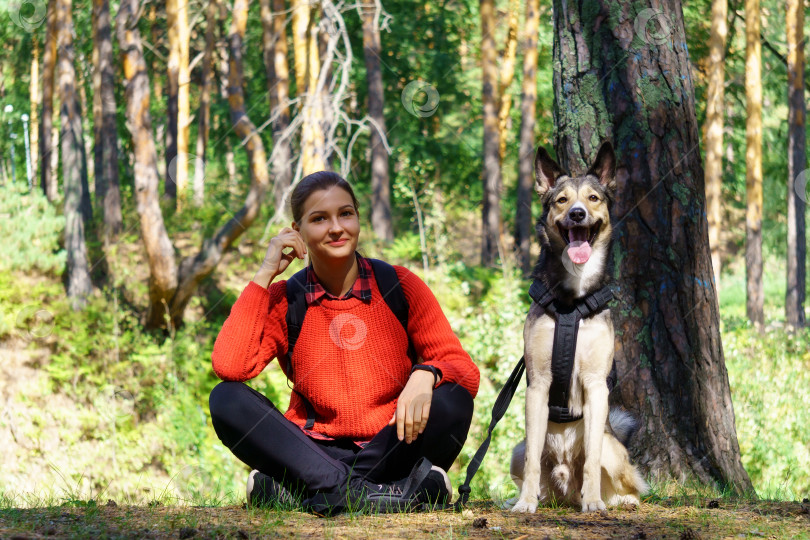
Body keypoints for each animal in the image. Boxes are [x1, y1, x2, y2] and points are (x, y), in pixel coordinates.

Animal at [512, 141, 644, 512]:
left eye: (593, 198)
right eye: (562, 200)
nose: (577, 214)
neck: (572, 303)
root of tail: (565, 490)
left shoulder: (597, 385)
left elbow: (592, 459)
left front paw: (594, 503)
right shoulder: (538, 386)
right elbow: (532, 460)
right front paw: (525, 504)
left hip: (614, 451)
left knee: (632, 483)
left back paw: (615, 500)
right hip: (518, 449)